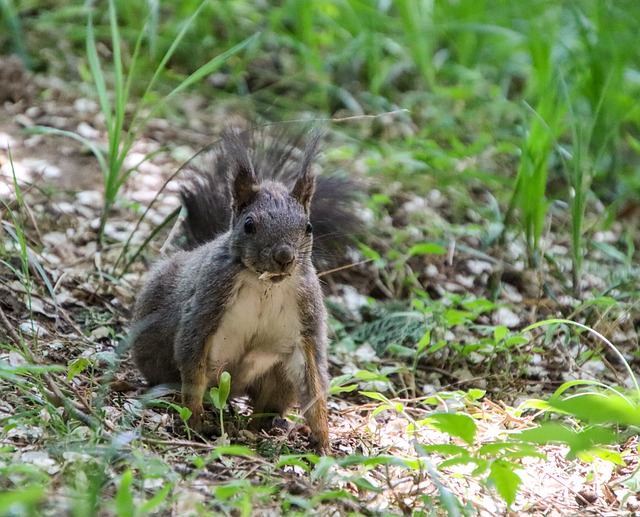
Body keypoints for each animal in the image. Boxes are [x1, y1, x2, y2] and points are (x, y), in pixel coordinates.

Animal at [130, 124, 360, 452]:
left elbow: (313, 380)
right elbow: (193, 360)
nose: (284, 257)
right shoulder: (207, 303)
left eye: (309, 227)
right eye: (249, 224)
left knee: (268, 401)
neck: (263, 284)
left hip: (277, 379)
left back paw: (265, 423)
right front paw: (194, 419)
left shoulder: (307, 316)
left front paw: (323, 439)